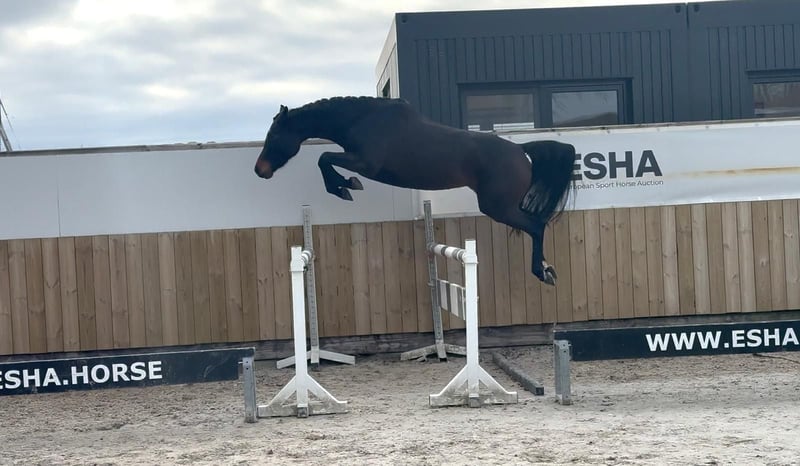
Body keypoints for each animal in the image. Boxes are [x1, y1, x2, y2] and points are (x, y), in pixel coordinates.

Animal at [254, 96, 575, 285]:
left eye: (275, 135)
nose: (260, 170)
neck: (362, 120)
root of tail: (521, 151)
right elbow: (325, 159)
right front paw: (345, 186)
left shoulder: (365, 164)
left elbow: (324, 158)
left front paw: (345, 187)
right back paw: (546, 269)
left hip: (498, 207)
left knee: (537, 225)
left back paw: (543, 272)